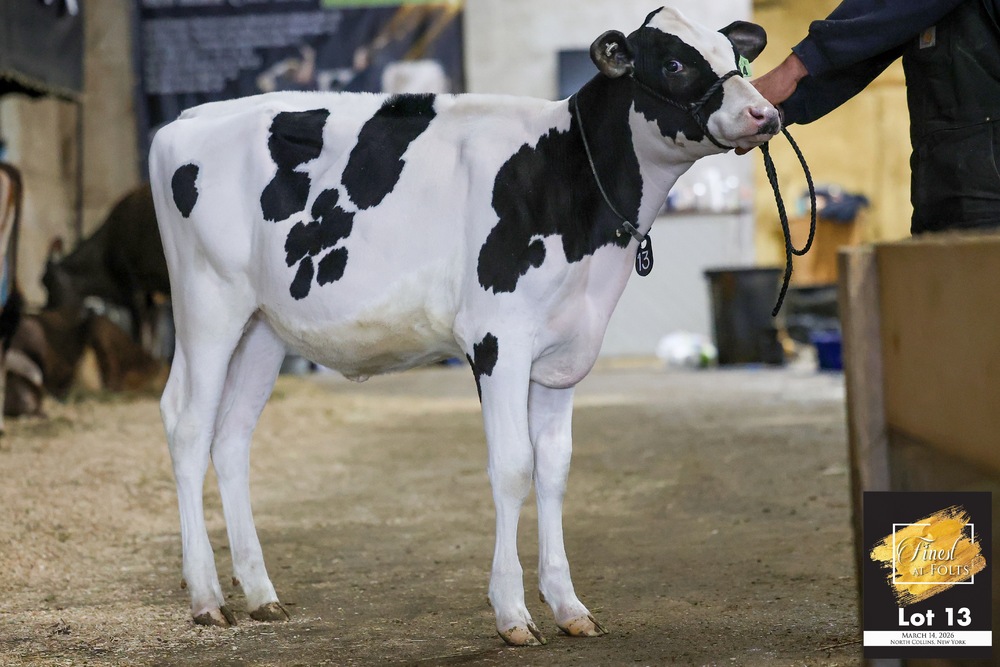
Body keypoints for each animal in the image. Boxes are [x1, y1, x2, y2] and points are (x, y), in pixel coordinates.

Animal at [149, 8, 780, 645]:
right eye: (674, 63)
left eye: (736, 56)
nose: (766, 114)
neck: (569, 180)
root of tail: (188, 118)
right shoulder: (497, 339)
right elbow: (513, 468)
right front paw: (512, 613)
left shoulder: (563, 352)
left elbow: (553, 469)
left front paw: (569, 606)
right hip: (208, 305)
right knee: (186, 426)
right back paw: (207, 598)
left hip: (263, 328)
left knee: (231, 438)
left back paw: (261, 595)